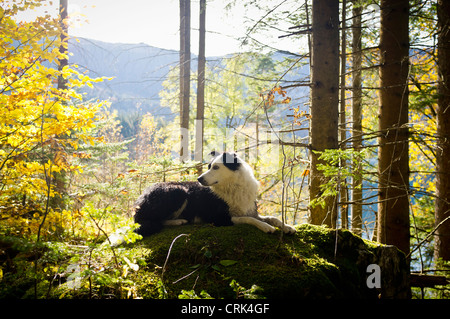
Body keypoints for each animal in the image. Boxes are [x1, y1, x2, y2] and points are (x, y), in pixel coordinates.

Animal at [134, 152, 296, 238]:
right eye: (209, 167)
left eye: (216, 167)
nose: (199, 179)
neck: (233, 187)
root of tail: (141, 198)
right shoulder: (220, 218)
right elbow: (248, 219)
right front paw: (265, 226)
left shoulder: (249, 210)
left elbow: (272, 218)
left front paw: (286, 227)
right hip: (177, 191)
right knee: (157, 221)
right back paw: (179, 221)